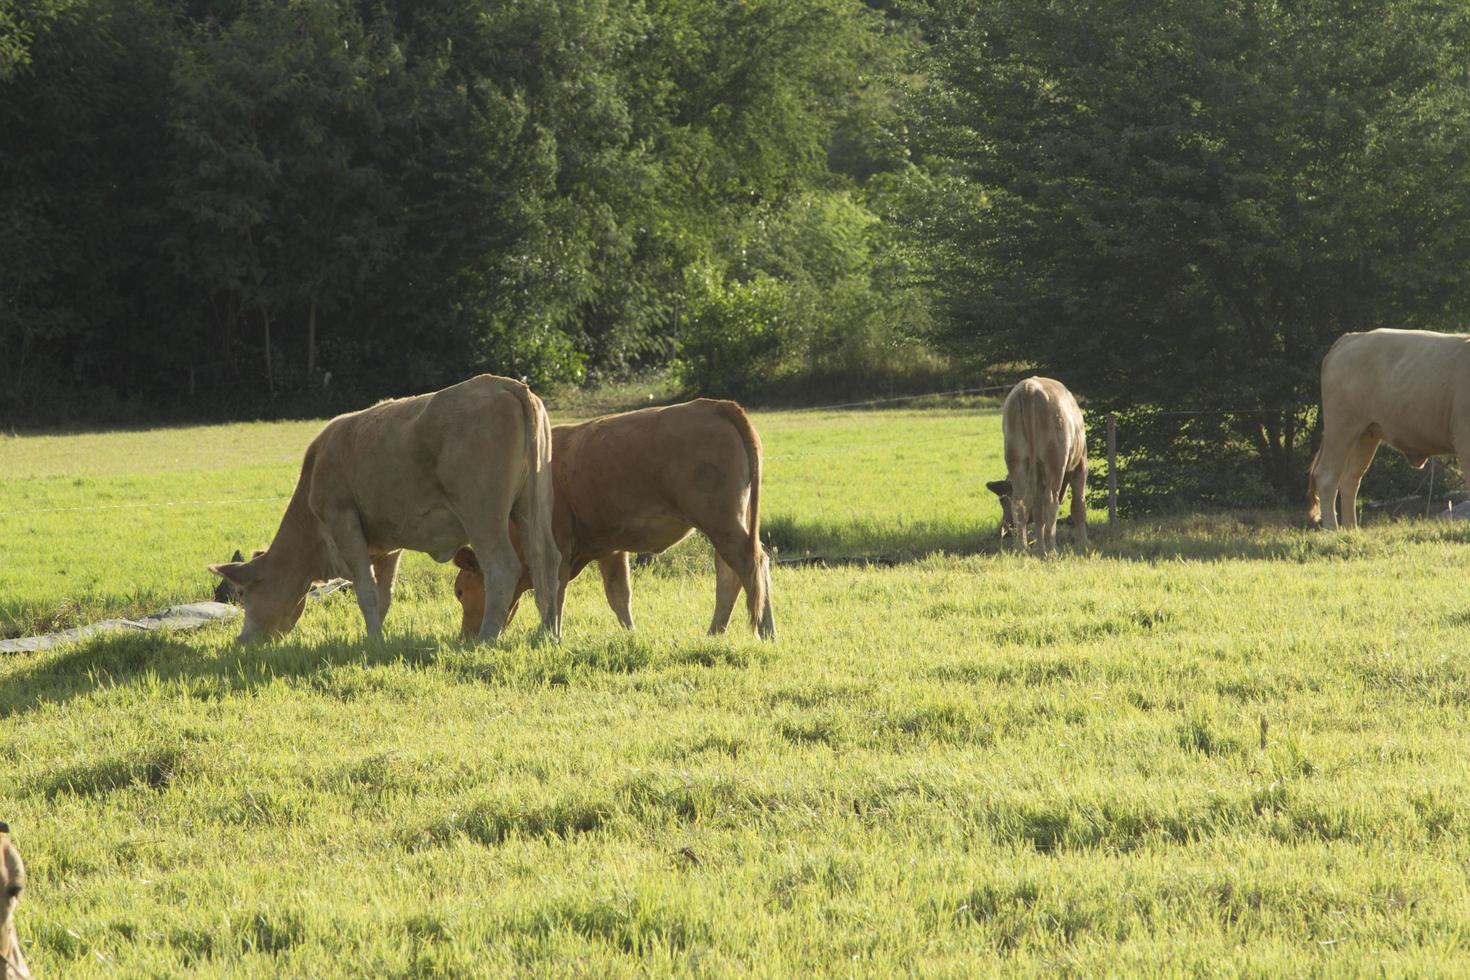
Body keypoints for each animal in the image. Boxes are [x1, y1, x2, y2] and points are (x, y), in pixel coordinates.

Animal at [201, 376, 555, 643]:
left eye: (243, 594)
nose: (242, 640)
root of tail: (507, 385)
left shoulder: (342, 520)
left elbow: (367, 591)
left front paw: (371, 641)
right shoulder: (389, 544)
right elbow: (384, 594)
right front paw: (379, 638)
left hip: (482, 515)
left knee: (502, 567)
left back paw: (486, 638)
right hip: (532, 506)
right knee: (546, 562)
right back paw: (549, 634)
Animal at [449, 399, 776, 643]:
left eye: (460, 591)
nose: (465, 637)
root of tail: (716, 406)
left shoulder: (560, 547)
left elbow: (554, 593)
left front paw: (550, 635)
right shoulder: (610, 548)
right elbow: (619, 595)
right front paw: (631, 634)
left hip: (721, 522)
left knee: (751, 565)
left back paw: (765, 631)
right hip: (727, 523)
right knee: (731, 574)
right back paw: (715, 633)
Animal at [981, 379, 1087, 555]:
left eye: (1002, 501)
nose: (1005, 530)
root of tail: (1029, 387)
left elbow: (1038, 512)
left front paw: (1039, 547)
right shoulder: (1081, 464)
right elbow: (1078, 505)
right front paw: (1083, 544)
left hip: (1015, 456)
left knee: (1020, 502)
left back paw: (1021, 547)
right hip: (1055, 460)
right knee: (1051, 501)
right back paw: (1052, 548)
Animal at [1311, 327, 1470, 528]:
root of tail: (1351, 337)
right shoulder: (1465, 440)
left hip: (1367, 433)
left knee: (1350, 479)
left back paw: (1351, 529)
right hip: (1341, 425)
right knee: (1327, 476)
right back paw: (1333, 529)